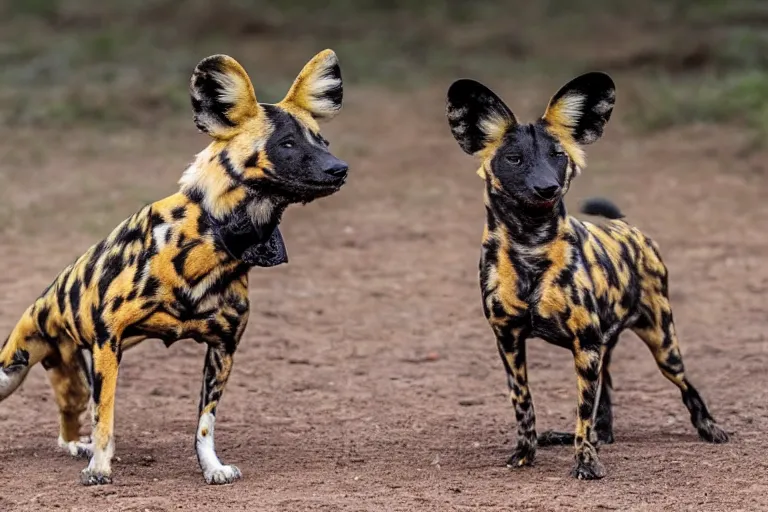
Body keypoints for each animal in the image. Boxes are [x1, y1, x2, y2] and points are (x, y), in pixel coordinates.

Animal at [0, 50, 348, 486]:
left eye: (324, 142)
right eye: (286, 143)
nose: (340, 168)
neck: (211, 239)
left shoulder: (222, 349)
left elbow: (204, 426)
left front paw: (212, 468)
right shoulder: (110, 345)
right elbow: (106, 418)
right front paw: (99, 468)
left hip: (74, 377)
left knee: (68, 423)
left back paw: (75, 446)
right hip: (13, 370)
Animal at [444, 73, 728, 480]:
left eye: (557, 156)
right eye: (514, 159)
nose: (546, 187)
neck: (531, 244)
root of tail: (628, 228)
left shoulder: (585, 345)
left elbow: (582, 412)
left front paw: (586, 462)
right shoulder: (510, 343)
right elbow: (525, 405)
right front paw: (525, 453)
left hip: (663, 345)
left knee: (685, 386)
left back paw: (709, 428)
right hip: (605, 351)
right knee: (603, 412)